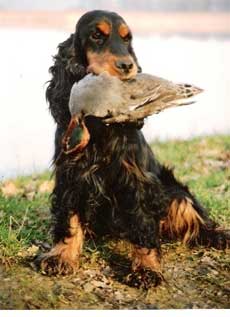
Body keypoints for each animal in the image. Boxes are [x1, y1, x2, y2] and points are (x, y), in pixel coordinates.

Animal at [38, 9, 229, 282]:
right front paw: (61, 256)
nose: (128, 66)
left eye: (127, 38)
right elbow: (69, 217)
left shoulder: (136, 177)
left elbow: (142, 221)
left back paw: (219, 236)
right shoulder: (70, 173)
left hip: (175, 193)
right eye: (97, 35)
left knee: (195, 220)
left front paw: (147, 269)